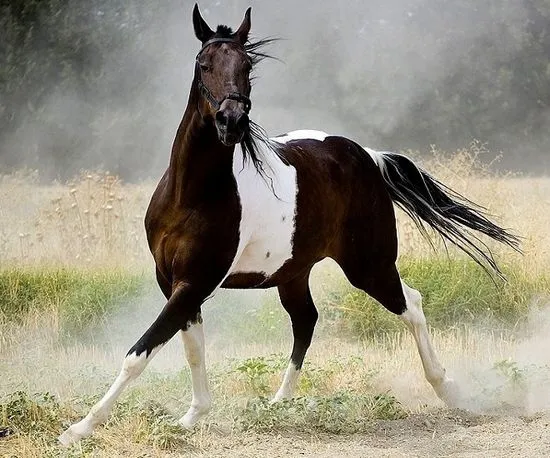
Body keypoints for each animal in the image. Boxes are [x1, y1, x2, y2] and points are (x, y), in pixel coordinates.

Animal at [58, 4, 520, 448]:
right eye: (204, 63)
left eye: (247, 65)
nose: (231, 122)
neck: (191, 195)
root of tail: (368, 157)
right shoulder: (174, 281)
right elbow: (191, 348)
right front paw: (192, 417)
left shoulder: (195, 281)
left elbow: (140, 353)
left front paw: (79, 428)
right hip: (294, 272)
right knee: (307, 320)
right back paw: (277, 404)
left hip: (368, 266)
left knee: (412, 304)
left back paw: (449, 390)